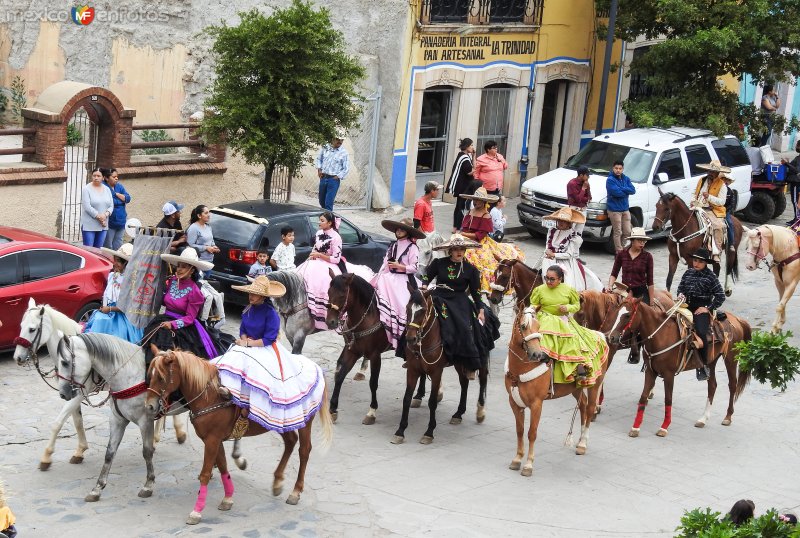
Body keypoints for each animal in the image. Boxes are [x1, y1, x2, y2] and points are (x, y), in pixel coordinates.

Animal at [144, 348, 332, 524]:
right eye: (149, 376)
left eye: (161, 377)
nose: (150, 406)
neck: (210, 395)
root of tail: (315, 366)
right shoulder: (214, 440)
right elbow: (223, 466)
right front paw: (227, 498)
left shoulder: (212, 440)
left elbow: (206, 473)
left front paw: (196, 511)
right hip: (284, 421)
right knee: (291, 442)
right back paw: (278, 482)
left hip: (305, 422)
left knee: (304, 450)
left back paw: (296, 491)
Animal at [390, 284, 490, 444]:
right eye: (407, 308)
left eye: (423, 310)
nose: (410, 339)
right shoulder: (412, 370)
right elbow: (406, 398)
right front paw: (400, 431)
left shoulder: (436, 372)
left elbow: (432, 401)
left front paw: (429, 432)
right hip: (459, 362)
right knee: (464, 383)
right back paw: (458, 413)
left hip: (481, 358)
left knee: (483, 380)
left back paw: (480, 412)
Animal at [504, 304, 608, 476]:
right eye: (523, 326)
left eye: (539, 326)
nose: (537, 354)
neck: (520, 370)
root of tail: (600, 335)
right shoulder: (514, 402)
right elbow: (520, 430)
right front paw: (517, 459)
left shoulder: (536, 404)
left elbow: (532, 433)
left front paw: (528, 465)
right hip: (576, 387)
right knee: (583, 405)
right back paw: (579, 439)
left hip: (594, 384)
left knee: (590, 408)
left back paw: (583, 443)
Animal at [604, 294, 752, 436]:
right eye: (617, 312)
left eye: (627, 315)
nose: (611, 337)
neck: (660, 335)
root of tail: (737, 319)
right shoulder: (650, 371)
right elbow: (643, 397)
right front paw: (635, 427)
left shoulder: (669, 375)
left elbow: (668, 399)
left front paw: (664, 427)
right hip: (711, 361)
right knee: (712, 385)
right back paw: (703, 419)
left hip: (731, 359)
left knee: (732, 385)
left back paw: (728, 417)